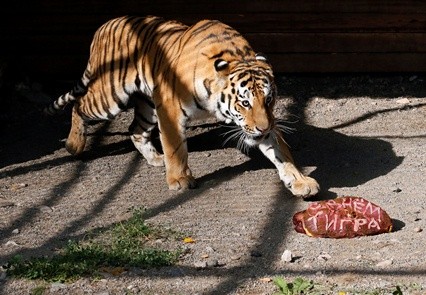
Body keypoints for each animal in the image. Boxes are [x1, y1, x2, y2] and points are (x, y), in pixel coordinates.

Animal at [44, 15, 320, 198]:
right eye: (244, 103)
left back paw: (155, 158)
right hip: (110, 97)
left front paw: (300, 181)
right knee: (79, 104)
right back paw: (74, 144)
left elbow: (282, 153)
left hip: (147, 104)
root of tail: (105, 25)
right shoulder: (169, 108)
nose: (262, 129)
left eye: (269, 100)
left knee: (135, 129)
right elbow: (176, 146)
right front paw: (179, 180)